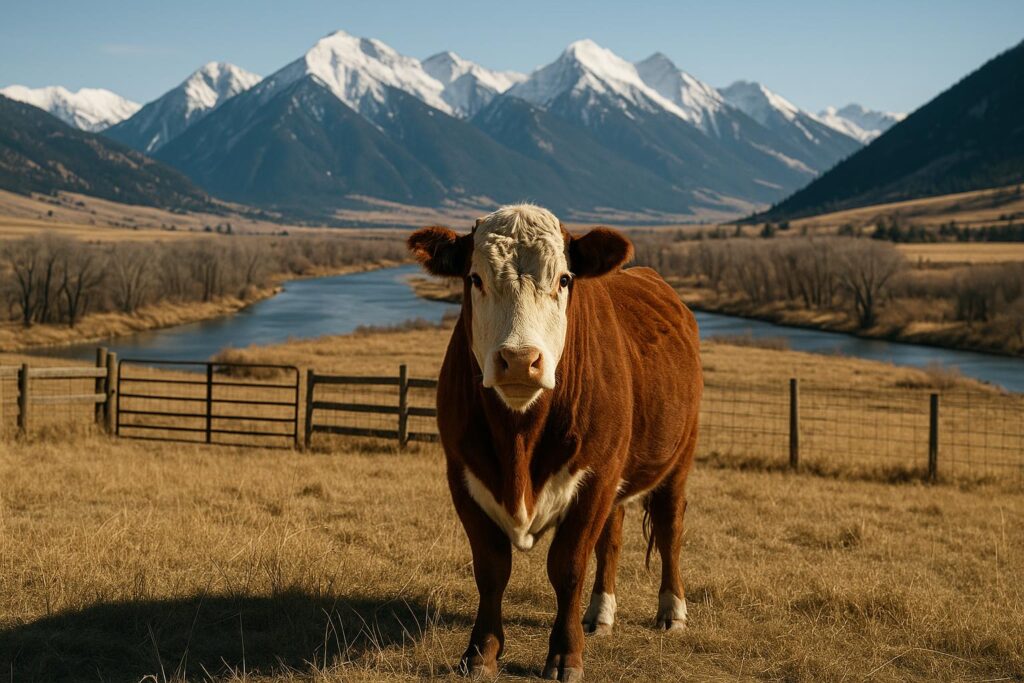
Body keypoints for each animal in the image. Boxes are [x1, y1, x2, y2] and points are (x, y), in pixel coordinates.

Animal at [408, 204, 702, 681]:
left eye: (564, 279)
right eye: (475, 278)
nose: (519, 360)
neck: (519, 442)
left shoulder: (595, 477)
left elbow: (568, 566)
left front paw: (565, 655)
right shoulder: (463, 475)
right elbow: (491, 568)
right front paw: (481, 652)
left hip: (678, 458)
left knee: (670, 527)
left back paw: (671, 611)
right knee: (612, 538)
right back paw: (600, 614)